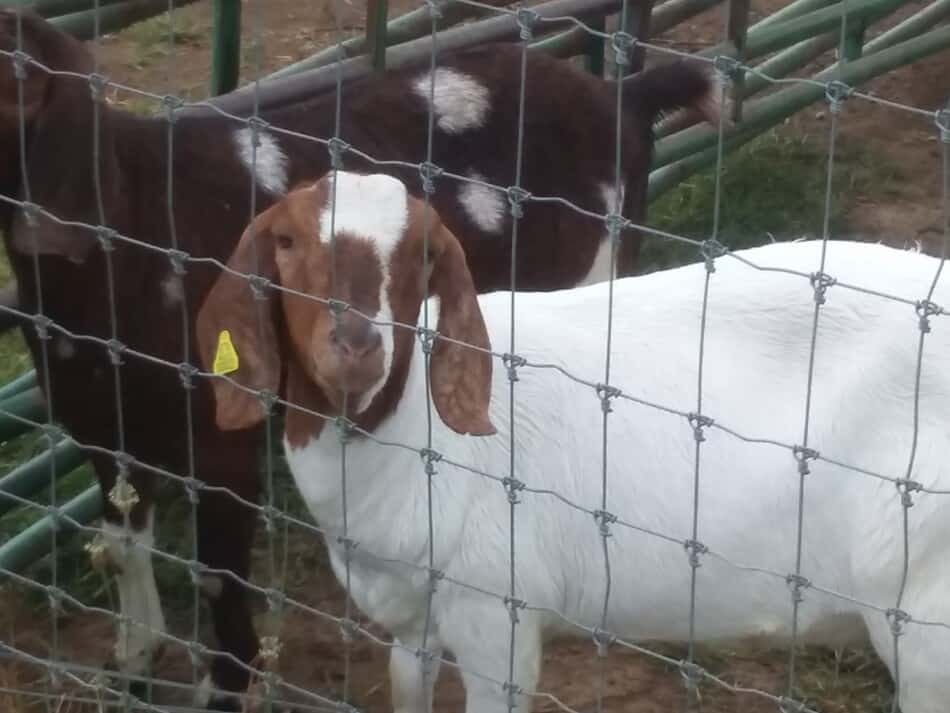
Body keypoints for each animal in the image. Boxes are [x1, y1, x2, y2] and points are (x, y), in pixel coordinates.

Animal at [0, 5, 720, 708]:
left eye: (16, 78)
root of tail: (619, 96)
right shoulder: (99, 419)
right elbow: (122, 544)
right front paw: (131, 662)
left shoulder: (223, 437)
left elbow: (217, 575)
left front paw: (222, 687)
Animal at [197, 172, 948, 712]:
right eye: (286, 241)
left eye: (422, 252)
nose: (355, 345)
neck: (411, 435)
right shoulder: (413, 625)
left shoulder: (497, 618)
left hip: (924, 618)